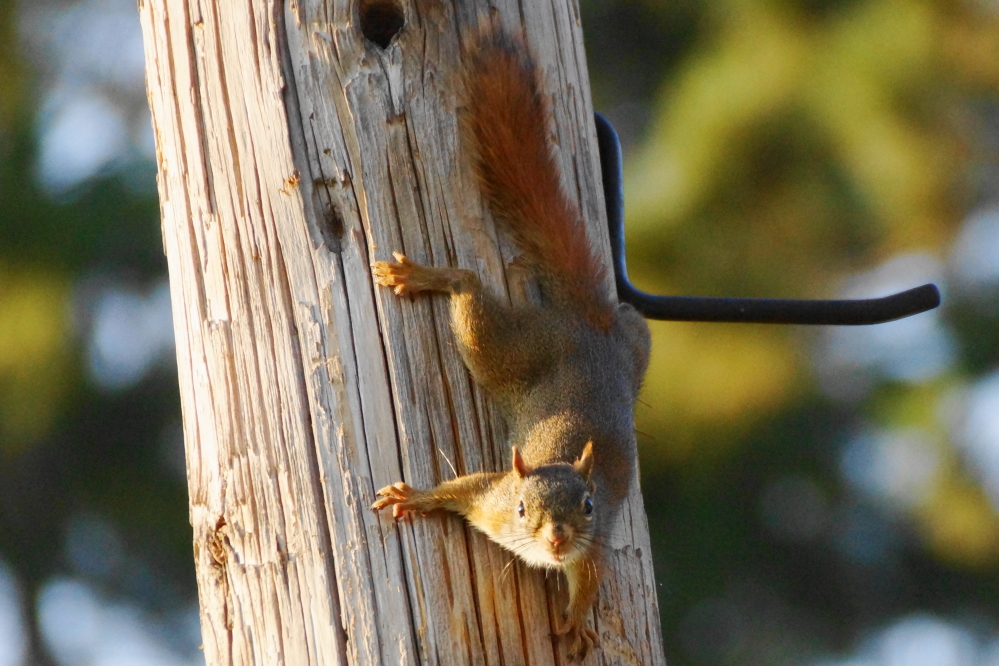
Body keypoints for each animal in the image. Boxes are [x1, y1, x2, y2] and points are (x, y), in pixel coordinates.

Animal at [370, 28, 651, 662]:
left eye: (589, 506)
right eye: (523, 508)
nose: (557, 539)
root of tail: (591, 326)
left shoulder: (594, 546)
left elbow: (590, 581)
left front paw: (575, 623)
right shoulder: (491, 498)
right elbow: (459, 487)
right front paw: (415, 496)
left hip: (630, 344)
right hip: (498, 347)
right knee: (469, 286)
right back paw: (424, 276)